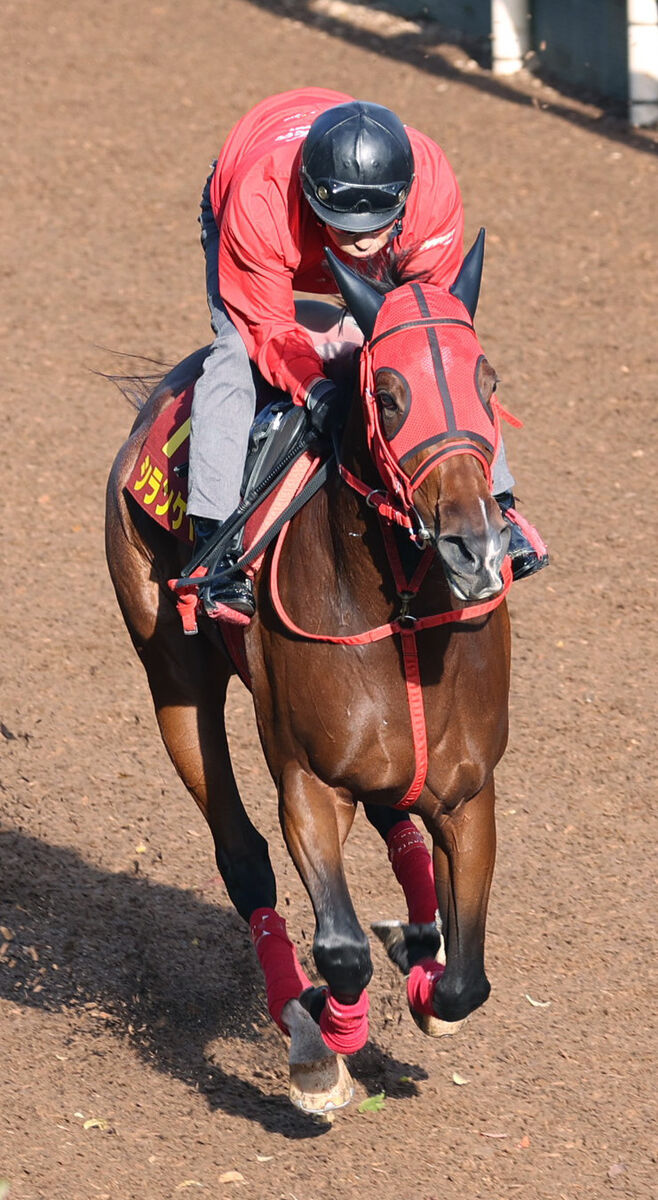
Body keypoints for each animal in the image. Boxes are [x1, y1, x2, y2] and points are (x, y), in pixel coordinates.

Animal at [103, 234, 513, 1113]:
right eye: (387, 396)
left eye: (487, 383)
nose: (474, 549)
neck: (403, 618)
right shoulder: (308, 782)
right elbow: (340, 951)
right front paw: (324, 1047)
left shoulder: (468, 792)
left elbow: (465, 981)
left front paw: (423, 978)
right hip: (174, 678)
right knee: (242, 854)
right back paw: (300, 1008)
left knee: (395, 823)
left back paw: (412, 934)